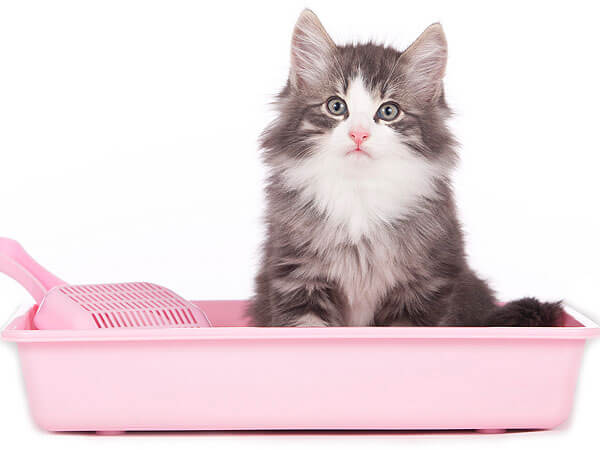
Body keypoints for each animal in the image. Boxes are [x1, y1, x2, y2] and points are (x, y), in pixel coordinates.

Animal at [245, 9, 564, 326]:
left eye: (389, 111)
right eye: (336, 106)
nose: (359, 134)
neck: (360, 192)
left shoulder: (423, 285)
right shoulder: (297, 275)